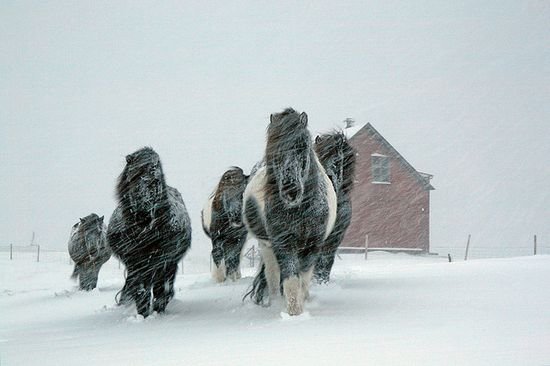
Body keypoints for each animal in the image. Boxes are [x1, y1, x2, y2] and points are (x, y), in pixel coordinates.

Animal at [106, 147, 193, 318]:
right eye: (135, 176)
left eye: (157, 180)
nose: (145, 214)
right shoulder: (136, 265)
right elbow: (141, 291)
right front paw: (144, 315)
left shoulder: (164, 263)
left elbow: (161, 290)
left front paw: (158, 312)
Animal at [245, 107, 338, 316]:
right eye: (274, 147)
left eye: (302, 146)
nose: (290, 190)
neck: (299, 211)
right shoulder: (283, 243)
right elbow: (291, 281)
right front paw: (294, 314)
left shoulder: (312, 246)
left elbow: (303, 281)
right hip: (267, 247)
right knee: (272, 279)